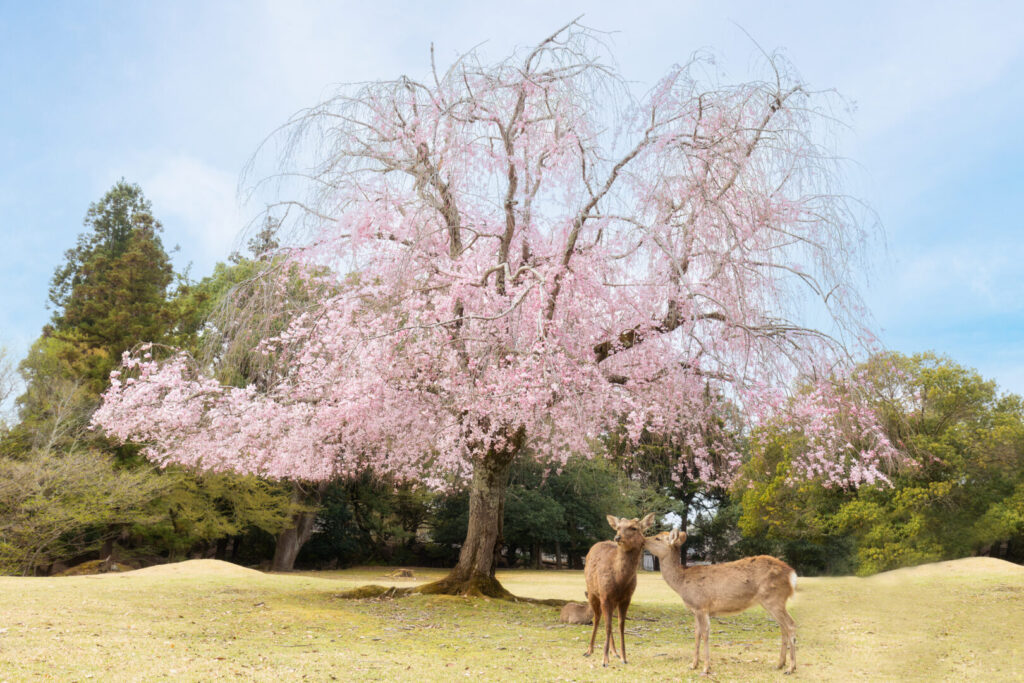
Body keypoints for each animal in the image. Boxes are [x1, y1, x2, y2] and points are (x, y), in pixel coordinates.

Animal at [583, 513, 655, 666]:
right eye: (618, 527)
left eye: (634, 528)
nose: (617, 537)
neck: (620, 581)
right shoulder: (604, 595)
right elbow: (608, 625)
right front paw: (604, 660)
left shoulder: (627, 598)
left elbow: (621, 625)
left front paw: (623, 657)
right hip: (592, 591)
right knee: (597, 618)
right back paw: (589, 650)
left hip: (613, 601)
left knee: (607, 619)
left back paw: (614, 652)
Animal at [644, 528, 798, 675]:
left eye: (657, 538)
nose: (644, 539)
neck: (682, 583)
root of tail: (792, 575)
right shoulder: (695, 610)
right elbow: (696, 633)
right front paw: (693, 665)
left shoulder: (701, 605)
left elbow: (705, 634)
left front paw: (706, 668)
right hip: (773, 601)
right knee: (783, 627)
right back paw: (779, 664)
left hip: (774, 599)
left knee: (790, 625)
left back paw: (791, 668)